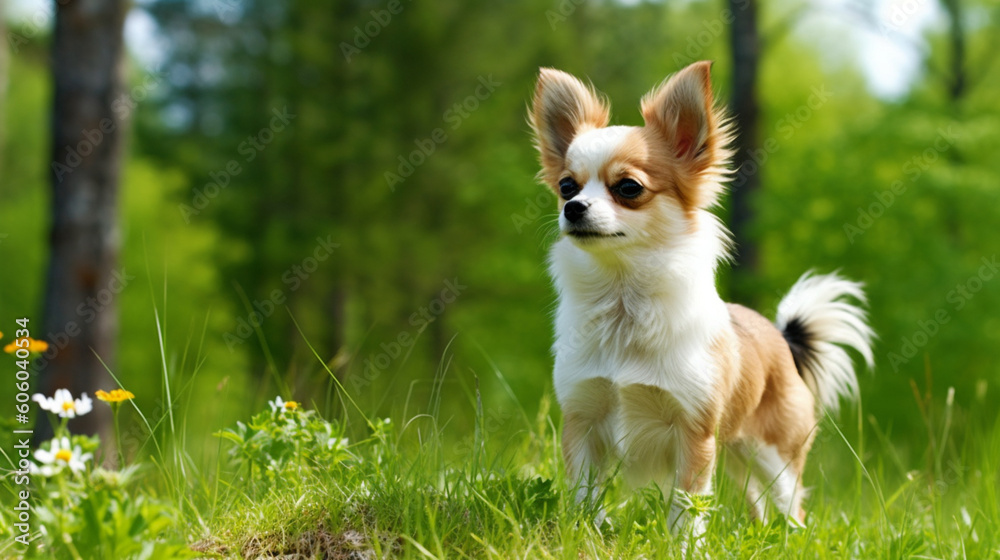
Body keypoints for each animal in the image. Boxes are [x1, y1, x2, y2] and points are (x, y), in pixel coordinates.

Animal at [528, 61, 872, 532]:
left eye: (628, 188)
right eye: (566, 186)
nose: (573, 208)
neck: (623, 300)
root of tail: (782, 338)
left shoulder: (693, 434)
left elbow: (685, 510)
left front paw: (683, 543)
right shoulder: (582, 424)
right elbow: (584, 498)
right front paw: (582, 535)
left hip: (774, 455)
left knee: (791, 507)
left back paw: (791, 538)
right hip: (737, 455)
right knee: (756, 503)